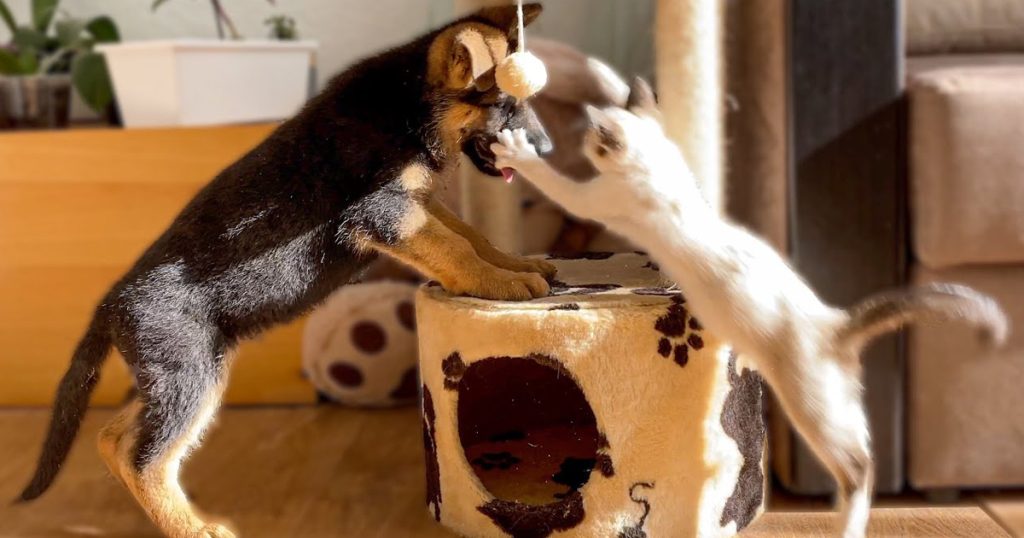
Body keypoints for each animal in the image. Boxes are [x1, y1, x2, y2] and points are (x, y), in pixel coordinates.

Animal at [18, 5, 552, 536]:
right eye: (503, 105)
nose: (547, 151)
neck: (407, 103)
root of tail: (111, 304)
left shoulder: (417, 205)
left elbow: (471, 236)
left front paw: (516, 263)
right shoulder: (387, 210)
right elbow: (456, 248)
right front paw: (502, 283)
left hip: (183, 372)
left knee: (116, 439)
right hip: (190, 376)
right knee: (144, 460)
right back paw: (193, 528)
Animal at [493, 78, 1007, 536]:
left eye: (589, 139)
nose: (581, 139)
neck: (659, 165)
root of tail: (835, 323)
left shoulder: (594, 198)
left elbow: (556, 183)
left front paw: (515, 150)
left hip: (812, 408)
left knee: (859, 466)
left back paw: (847, 523)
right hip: (841, 403)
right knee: (867, 450)